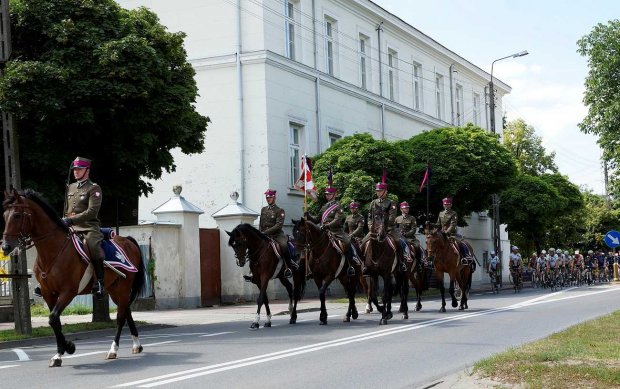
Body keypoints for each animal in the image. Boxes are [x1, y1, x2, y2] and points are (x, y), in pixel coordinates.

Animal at [0, 189, 145, 366]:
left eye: (17, 215)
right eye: (4, 215)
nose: (6, 247)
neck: (54, 251)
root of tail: (127, 240)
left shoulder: (68, 292)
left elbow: (53, 318)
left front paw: (67, 348)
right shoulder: (48, 293)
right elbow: (55, 321)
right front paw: (60, 353)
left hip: (123, 287)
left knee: (120, 317)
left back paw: (113, 349)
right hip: (114, 288)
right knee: (126, 311)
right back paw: (136, 344)